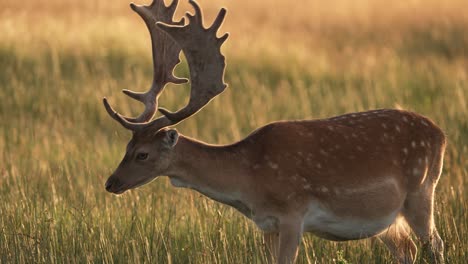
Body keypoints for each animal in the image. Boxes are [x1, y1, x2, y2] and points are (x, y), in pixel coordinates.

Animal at [102, 1, 446, 262]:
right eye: (125, 147)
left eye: (142, 154)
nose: (111, 183)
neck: (250, 180)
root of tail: (440, 134)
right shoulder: (267, 225)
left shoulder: (293, 213)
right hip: (385, 220)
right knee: (407, 249)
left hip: (421, 191)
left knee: (435, 245)